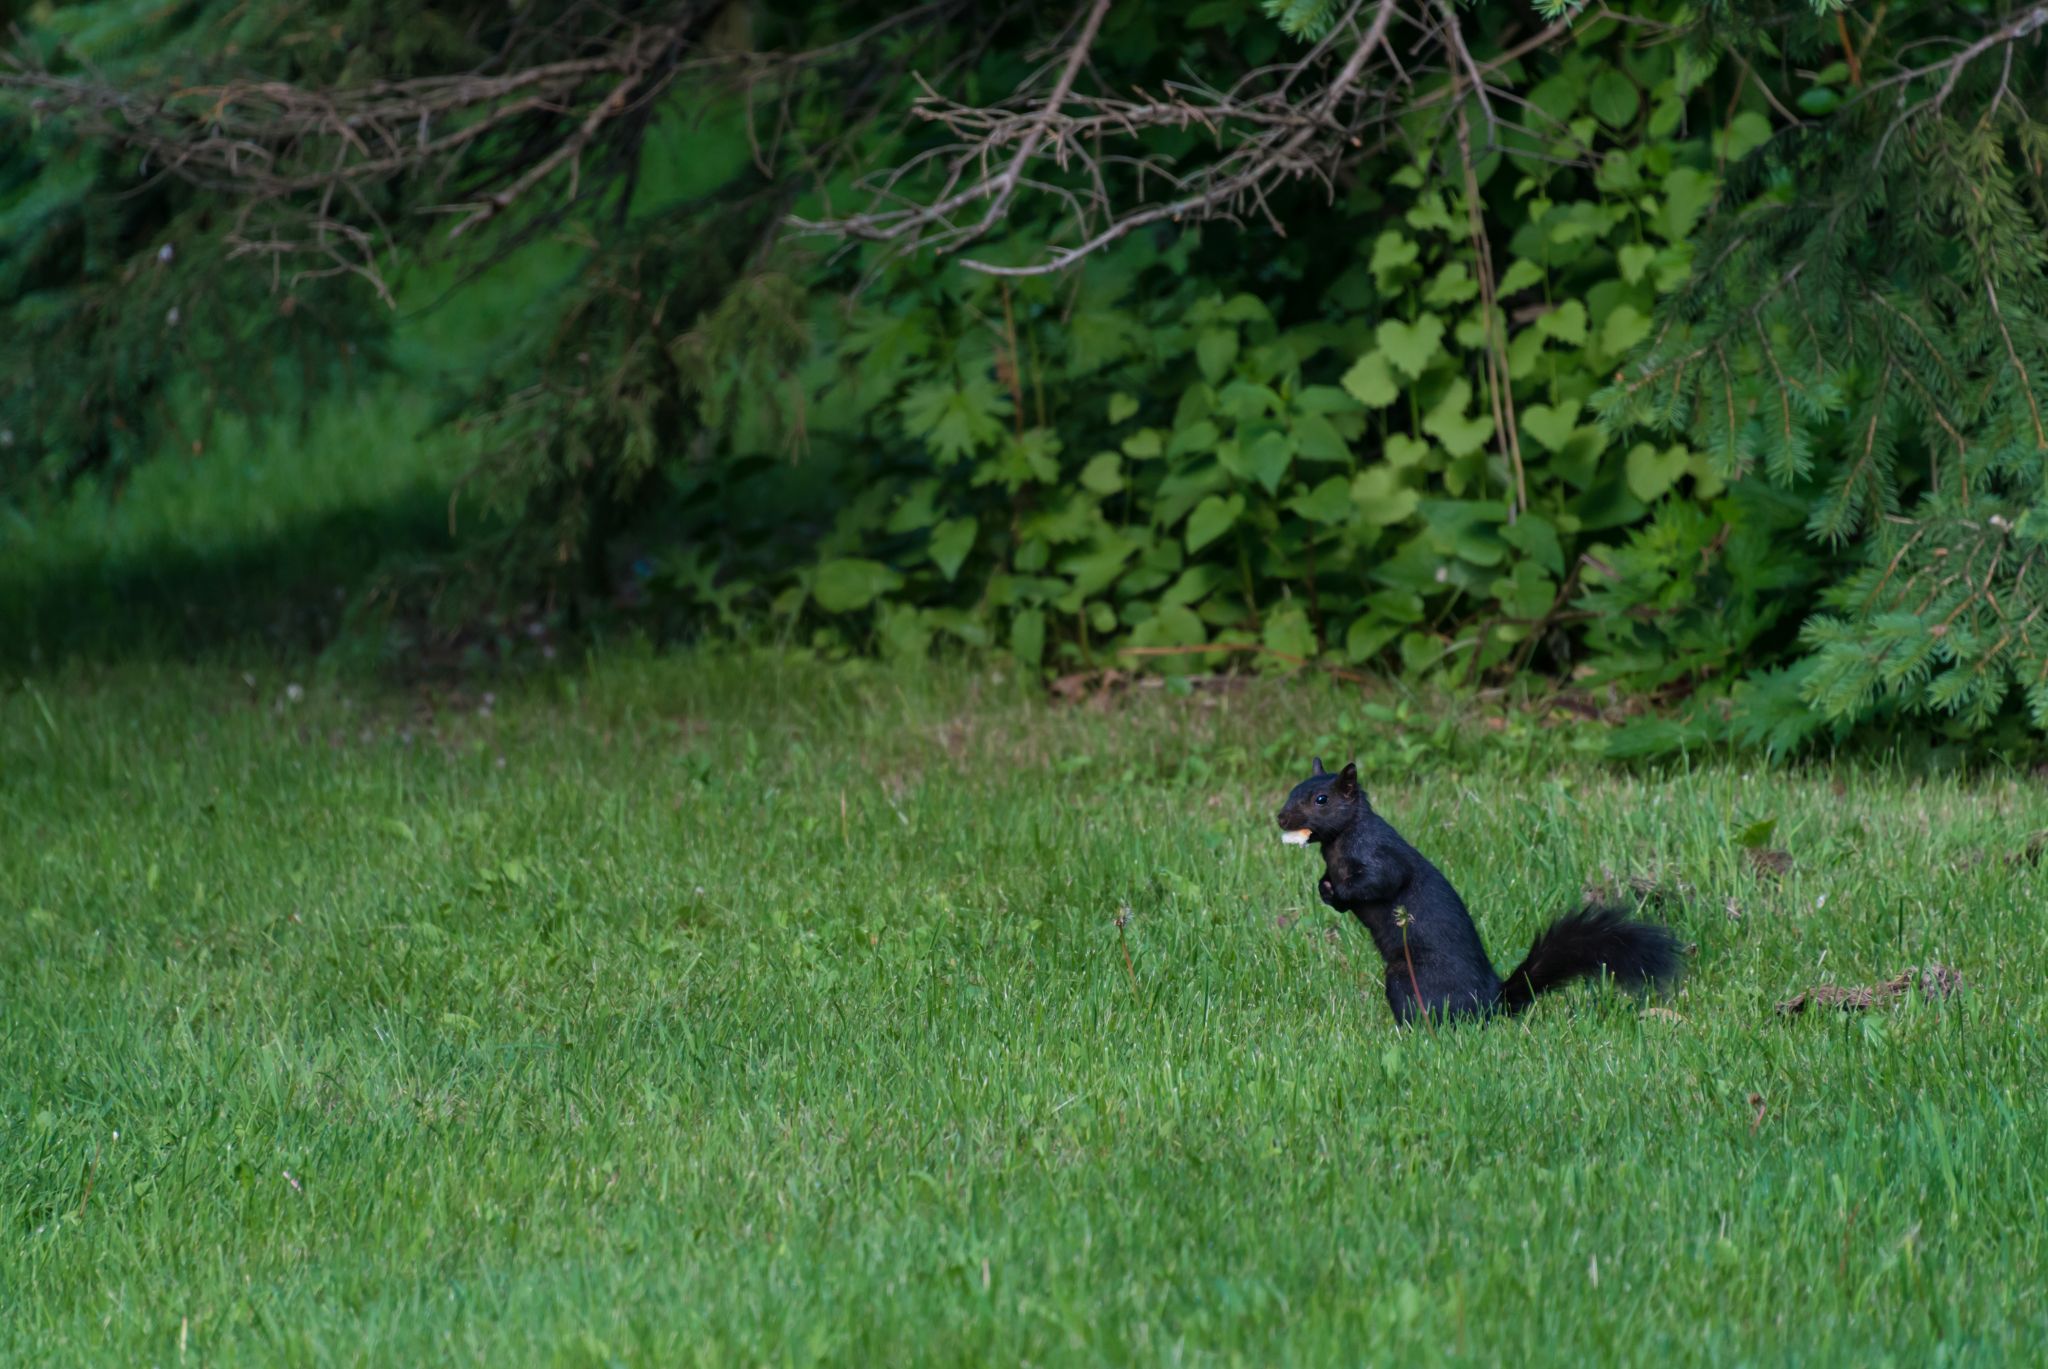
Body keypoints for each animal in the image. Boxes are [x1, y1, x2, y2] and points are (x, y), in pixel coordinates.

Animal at [1277, 758, 1679, 1024]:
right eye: (1293, 789)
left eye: (1321, 800)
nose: (1281, 818)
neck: (1338, 842)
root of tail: (1490, 1001)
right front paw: (1324, 889)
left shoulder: (1379, 854)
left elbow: (1379, 882)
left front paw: (1340, 891)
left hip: (1409, 977)